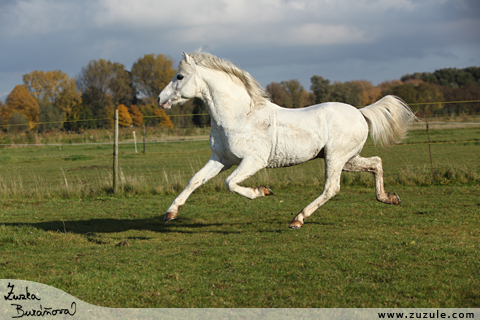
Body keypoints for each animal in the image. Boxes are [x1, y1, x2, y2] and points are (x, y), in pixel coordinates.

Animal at [158, 51, 416, 229]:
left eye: (180, 76)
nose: (160, 99)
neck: (240, 116)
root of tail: (360, 112)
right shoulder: (221, 159)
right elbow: (194, 180)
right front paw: (171, 213)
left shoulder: (253, 161)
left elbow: (230, 183)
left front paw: (262, 191)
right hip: (348, 159)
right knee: (376, 162)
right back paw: (388, 198)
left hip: (336, 157)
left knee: (332, 188)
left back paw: (298, 219)